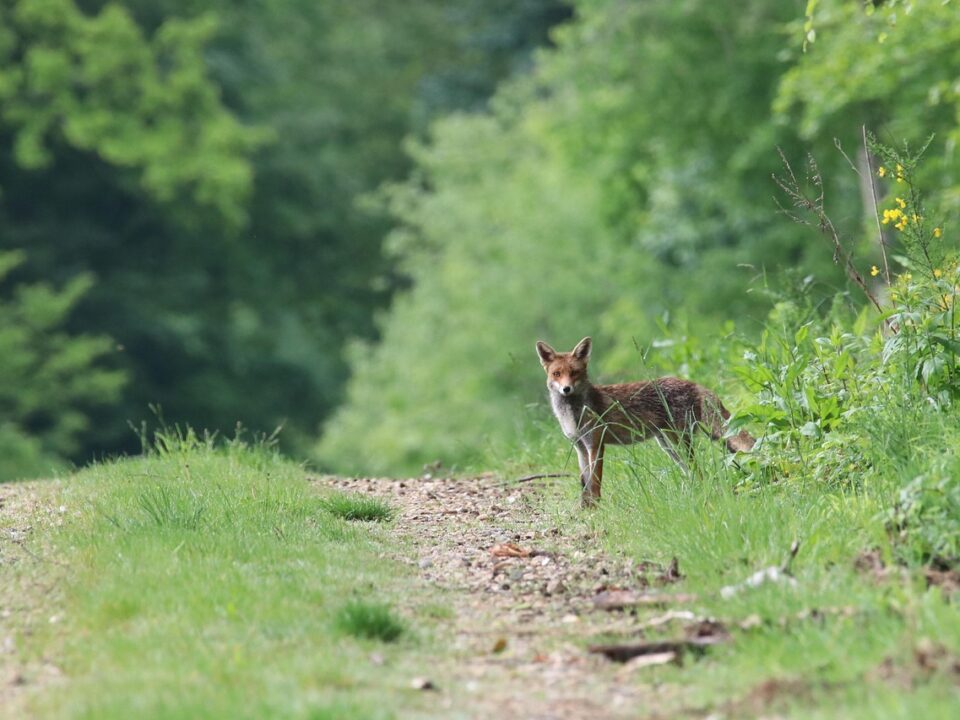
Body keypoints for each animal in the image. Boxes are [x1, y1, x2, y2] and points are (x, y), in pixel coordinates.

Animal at [536, 336, 755, 505]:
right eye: (556, 374)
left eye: (574, 373)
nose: (566, 389)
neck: (573, 414)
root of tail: (694, 383)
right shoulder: (580, 447)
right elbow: (585, 483)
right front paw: (585, 508)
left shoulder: (596, 444)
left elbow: (595, 483)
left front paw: (597, 509)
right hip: (668, 446)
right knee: (694, 472)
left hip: (678, 442)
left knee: (699, 470)